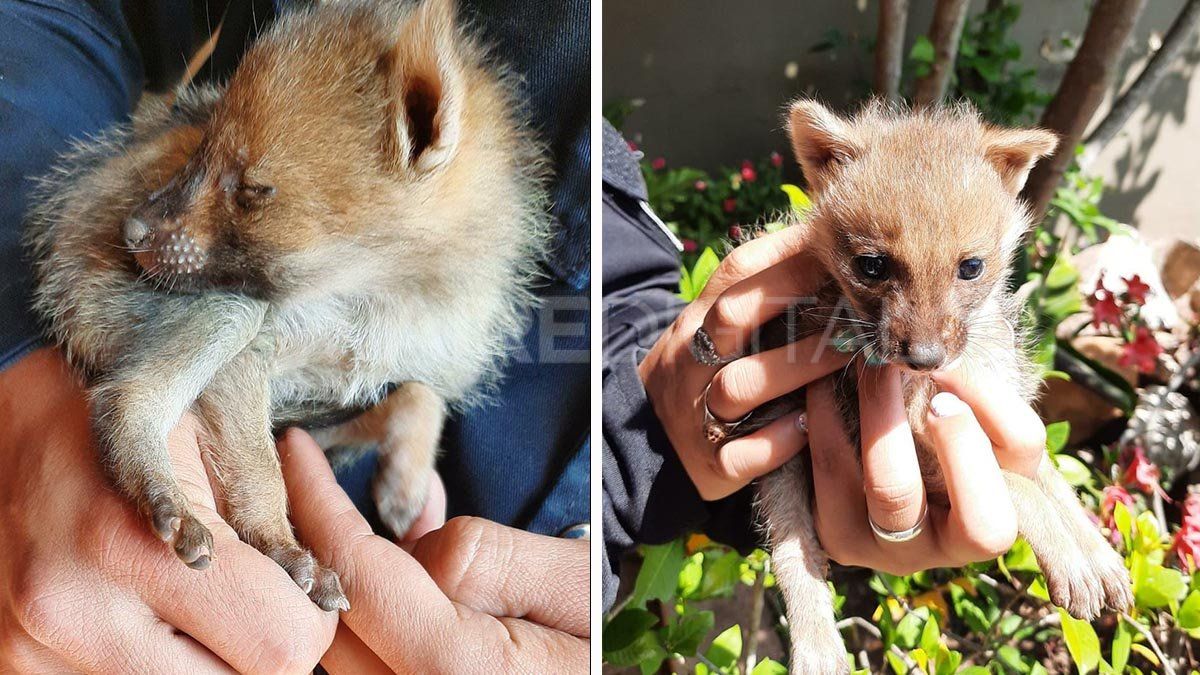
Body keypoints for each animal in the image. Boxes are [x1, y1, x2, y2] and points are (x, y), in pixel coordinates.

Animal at [24, 0, 549, 611]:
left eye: (252, 190)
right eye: (201, 147)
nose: (130, 233)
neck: (376, 300)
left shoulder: (328, 406)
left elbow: (421, 393)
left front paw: (406, 480)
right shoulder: (252, 361)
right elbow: (261, 470)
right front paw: (281, 545)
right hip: (230, 307)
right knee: (122, 398)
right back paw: (165, 495)